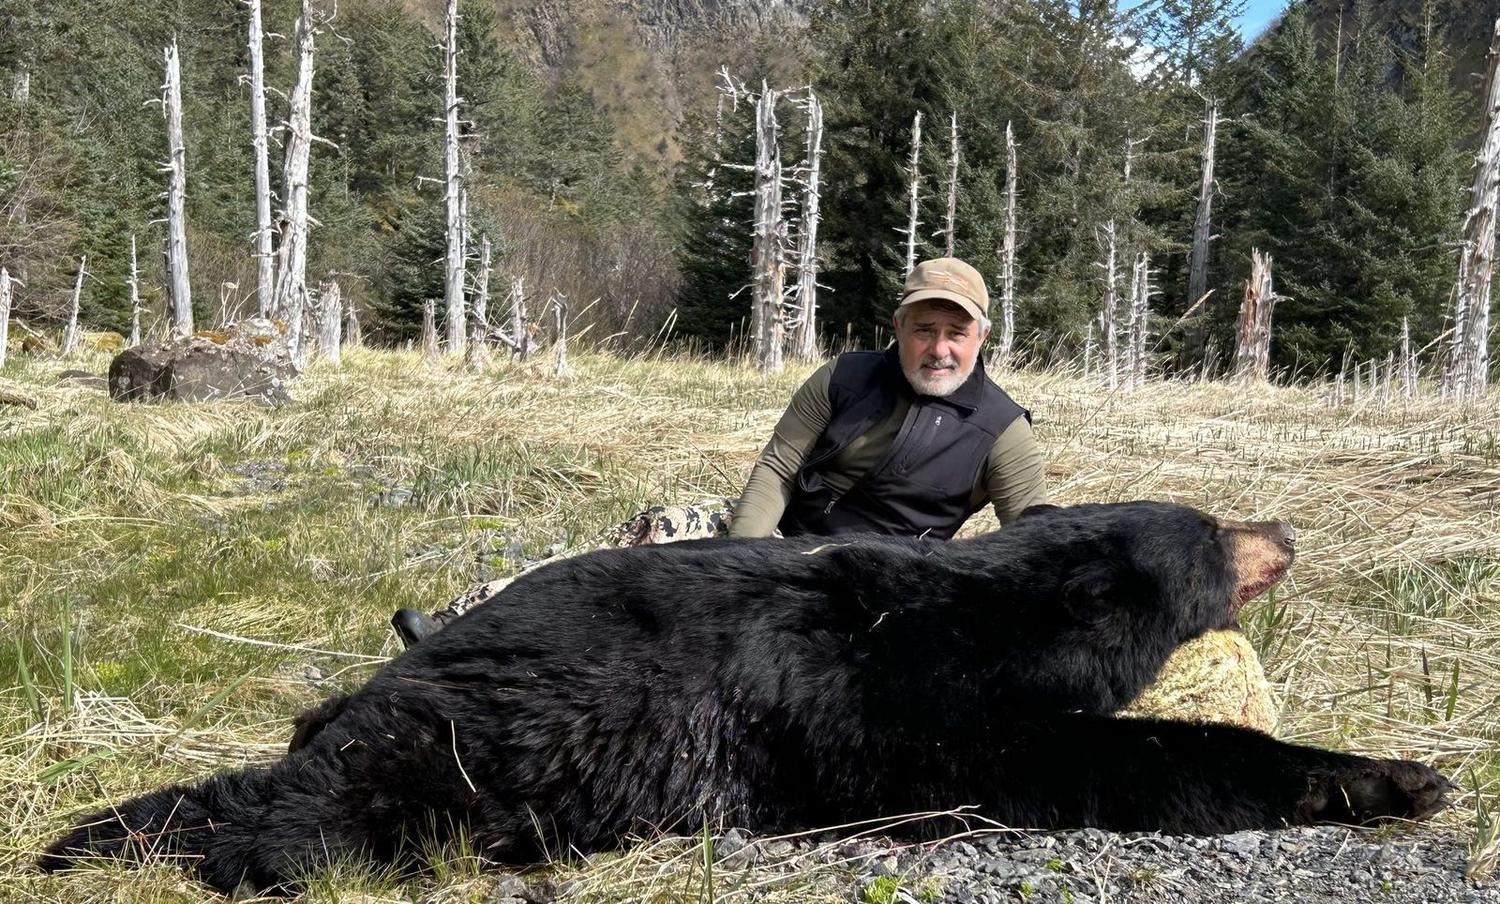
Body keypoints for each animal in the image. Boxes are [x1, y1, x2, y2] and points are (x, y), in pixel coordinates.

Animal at [40, 501, 1452, 895]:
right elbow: (1113, 761)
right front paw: (1395, 774)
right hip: (438, 744)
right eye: (1216, 537)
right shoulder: (889, 706)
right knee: (304, 822)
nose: (1286, 528)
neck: (981, 617)